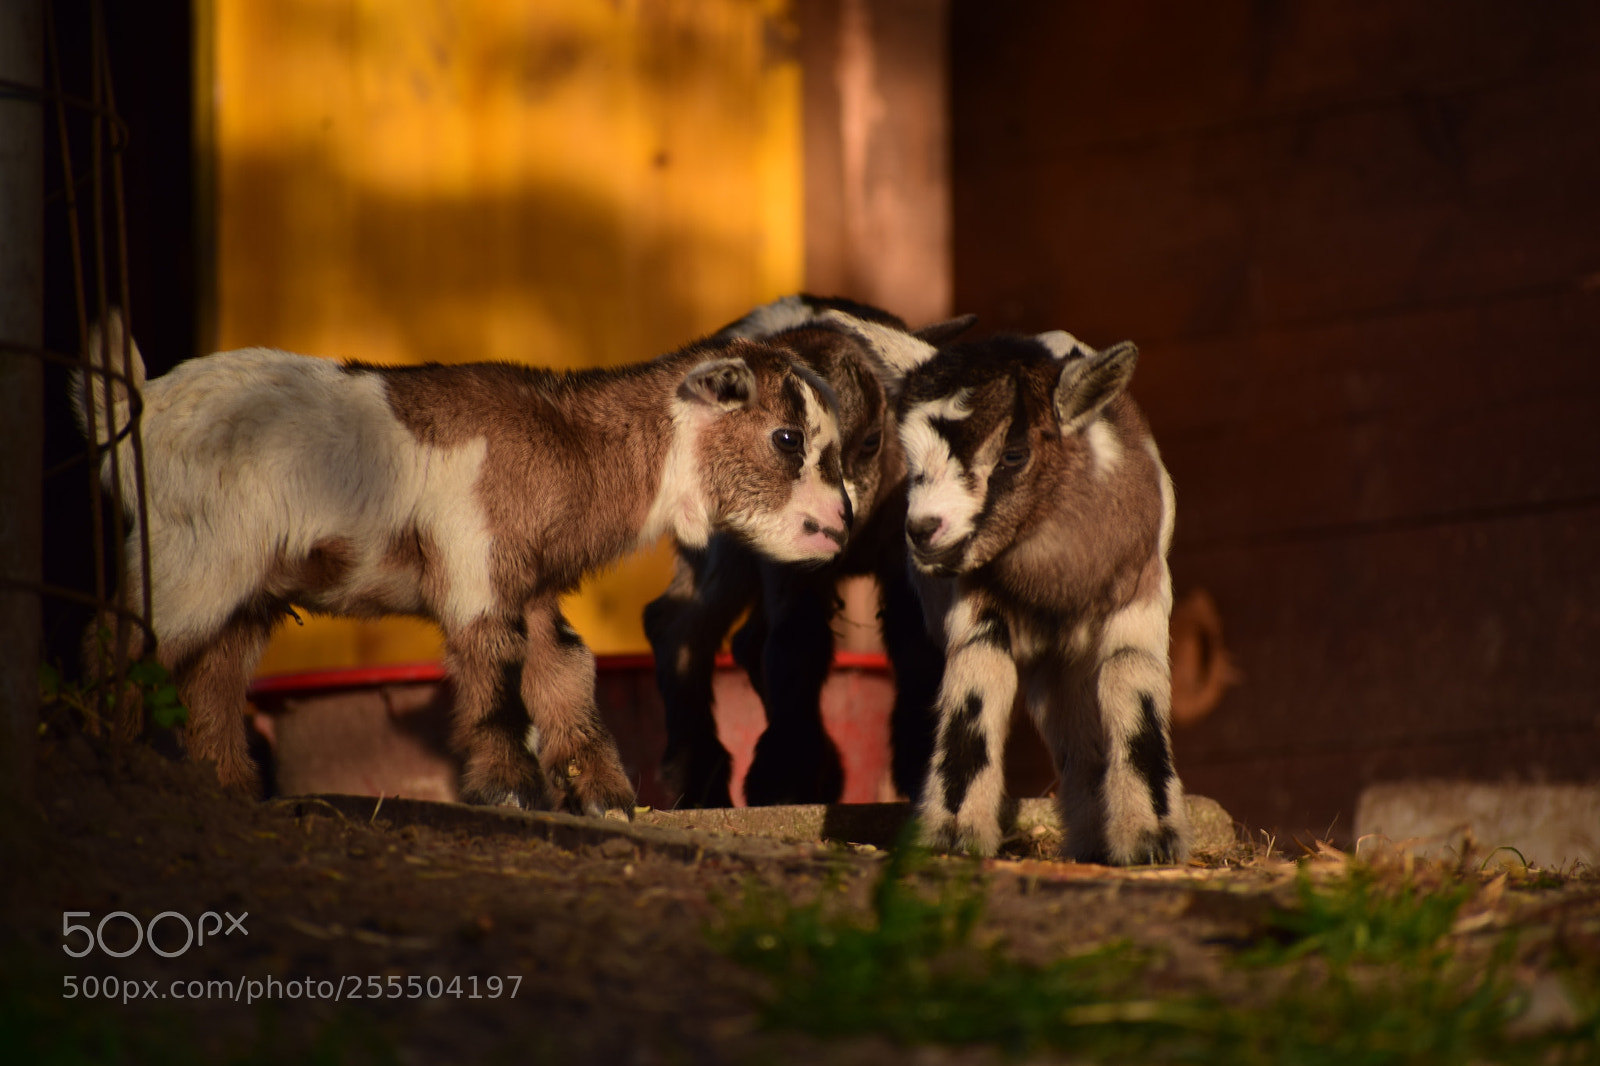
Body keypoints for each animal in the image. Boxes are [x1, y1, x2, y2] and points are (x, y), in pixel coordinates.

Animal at [74, 313, 851, 816]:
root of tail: (139, 407)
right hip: (193, 553)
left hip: (245, 583)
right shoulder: (479, 567)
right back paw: (101, 743)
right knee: (124, 637)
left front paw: (605, 798)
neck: (571, 443)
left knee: (214, 675)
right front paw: (510, 790)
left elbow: (565, 673)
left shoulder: (531, 585)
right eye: (787, 438)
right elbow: (497, 676)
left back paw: (231, 789)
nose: (841, 522)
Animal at [643, 295, 971, 807]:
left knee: (738, 638)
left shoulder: (908, 556)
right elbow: (797, 646)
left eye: (872, 441)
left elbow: (914, 644)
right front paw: (785, 778)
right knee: (680, 628)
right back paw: (698, 780)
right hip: (723, 546)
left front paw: (918, 765)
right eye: (784, 442)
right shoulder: (790, 565)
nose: (836, 514)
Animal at [821, 313, 1189, 864]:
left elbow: (1132, 681)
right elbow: (979, 680)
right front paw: (953, 833)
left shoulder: (1138, 591)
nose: (923, 530)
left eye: (1015, 454)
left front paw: (1151, 841)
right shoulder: (977, 601)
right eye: (911, 456)